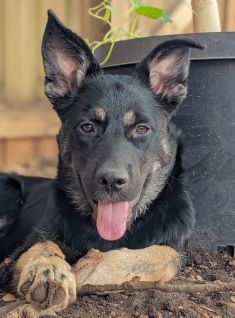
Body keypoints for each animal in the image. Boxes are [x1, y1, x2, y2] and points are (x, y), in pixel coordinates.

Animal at [0, 9, 202, 318]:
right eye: (87, 127)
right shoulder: (21, 249)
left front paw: (94, 268)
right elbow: (42, 246)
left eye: (142, 129)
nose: (111, 181)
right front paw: (48, 271)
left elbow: (162, 254)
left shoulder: (175, 247)